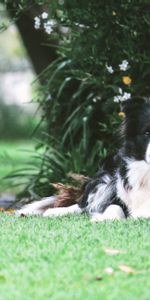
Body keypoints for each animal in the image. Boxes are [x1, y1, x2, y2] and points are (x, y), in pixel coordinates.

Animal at [16, 97, 150, 221]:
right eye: (146, 133)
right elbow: (114, 206)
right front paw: (104, 219)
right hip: (106, 178)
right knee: (84, 205)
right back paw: (53, 211)